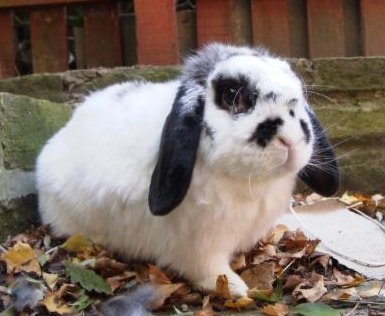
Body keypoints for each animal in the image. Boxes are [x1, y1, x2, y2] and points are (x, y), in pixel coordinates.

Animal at [34, 43, 338, 298]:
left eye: (299, 95)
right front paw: (235, 288)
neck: (248, 183)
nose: (290, 141)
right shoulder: (200, 245)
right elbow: (209, 269)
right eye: (232, 95)